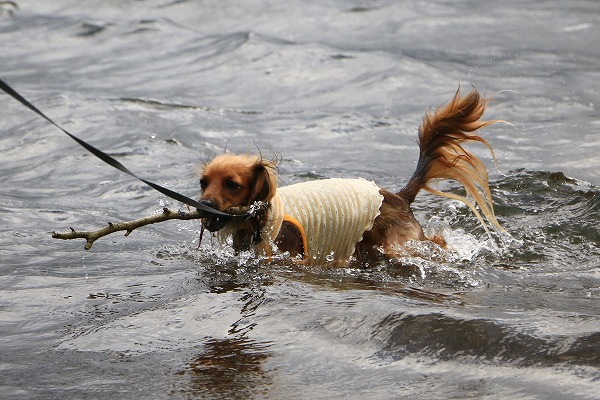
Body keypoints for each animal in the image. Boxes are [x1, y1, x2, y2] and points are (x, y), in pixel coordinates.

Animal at [199, 88, 504, 268]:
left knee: (435, 243)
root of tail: (399, 196)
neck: (260, 218)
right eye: (203, 182)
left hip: (398, 246)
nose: (204, 205)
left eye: (232, 184)